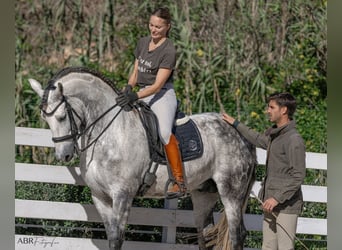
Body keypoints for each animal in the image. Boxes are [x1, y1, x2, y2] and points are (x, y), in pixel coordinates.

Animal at [28, 67, 255, 250]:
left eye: (61, 117)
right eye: (45, 118)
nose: (63, 155)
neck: (110, 133)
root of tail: (239, 132)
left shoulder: (122, 195)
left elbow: (117, 239)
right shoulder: (100, 197)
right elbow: (110, 237)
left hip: (231, 191)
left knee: (237, 234)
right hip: (204, 194)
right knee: (206, 235)